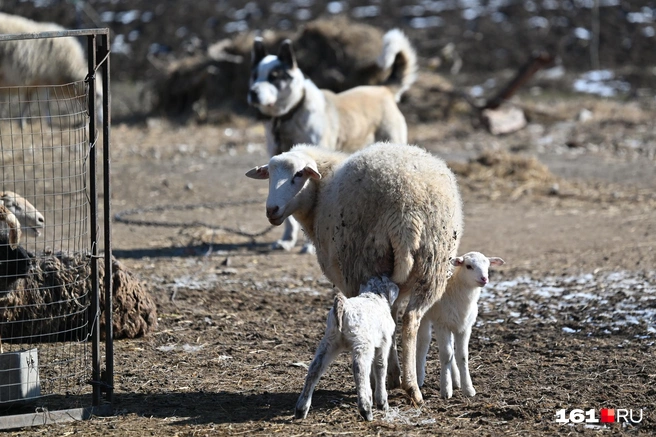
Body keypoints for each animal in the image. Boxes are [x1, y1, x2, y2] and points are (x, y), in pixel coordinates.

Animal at [243, 141, 464, 404]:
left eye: (299, 175)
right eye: (269, 175)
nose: (272, 210)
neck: (320, 192)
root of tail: (407, 214)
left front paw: (388, 377)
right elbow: (391, 318)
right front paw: (394, 376)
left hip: (362, 261)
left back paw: (379, 382)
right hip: (433, 263)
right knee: (411, 319)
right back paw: (411, 387)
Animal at [249, 29, 418, 252]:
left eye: (274, 77)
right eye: (253, 76)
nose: (253, 92)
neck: (290, 115)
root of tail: (383, 90)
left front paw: (309, 247)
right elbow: (289, 217)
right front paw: (287, 240)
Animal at [296, 274, 400, 420]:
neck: (374, 294)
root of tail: (343, 306)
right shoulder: (384, 342)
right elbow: (380, 366)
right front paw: (382, 403)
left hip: (330, 340)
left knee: (315, 367)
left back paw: (301, 409)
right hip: (362, 341)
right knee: (359, 368)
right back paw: (366, 410)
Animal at [418, 252, 504, 398]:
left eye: (488, 266)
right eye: (468, 266)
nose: (484, 278)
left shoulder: (464, 328)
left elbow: (462, 356)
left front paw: (468, 389)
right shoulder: (442, 325)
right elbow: (446, 355)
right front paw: (446, 389)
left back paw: (456, 380)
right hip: (424, 317)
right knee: (423, 343)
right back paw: (419, 378)